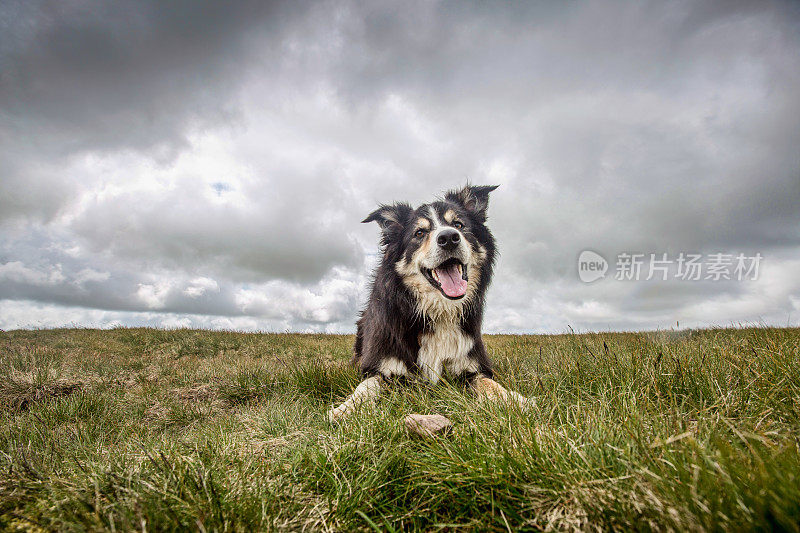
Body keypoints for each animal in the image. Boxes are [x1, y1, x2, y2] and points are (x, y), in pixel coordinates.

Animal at [326, 185, 532, 422]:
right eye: (419, 233)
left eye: (458, 225)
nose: (449, 238)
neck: (437, 311)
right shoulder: (379, 367)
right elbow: (366, 386)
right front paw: (346, 409)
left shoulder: (472, 366)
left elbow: (489, 383)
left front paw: (514, 400)